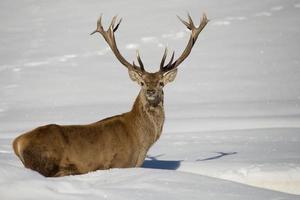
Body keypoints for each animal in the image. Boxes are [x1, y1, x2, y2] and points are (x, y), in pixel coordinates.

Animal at [12, 13, 209, 177]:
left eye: (161, 83)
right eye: (142, 83)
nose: (151, 91)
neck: (141, 141)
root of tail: (17, 142)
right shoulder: (119, 163)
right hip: (46, 161)